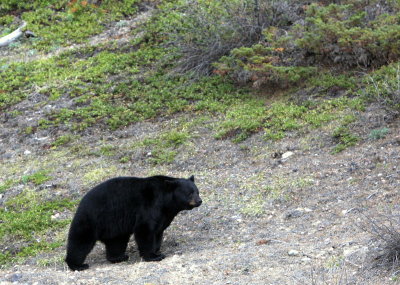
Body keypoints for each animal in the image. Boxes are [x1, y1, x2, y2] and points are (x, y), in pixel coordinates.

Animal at [66, 174, 203, 270]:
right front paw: (153, 256)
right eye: (190, 193)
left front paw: (157, 250)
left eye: (197, 191)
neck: (166, 203)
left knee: (116, 242)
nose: (199, 201)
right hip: (91, 219)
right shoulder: (148, 207)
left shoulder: (163, 215)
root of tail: (80, 203)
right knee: (80, 242)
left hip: (114, 227)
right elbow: (145, 230)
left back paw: (119, 257)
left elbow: (158, 232)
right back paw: (77, 265)